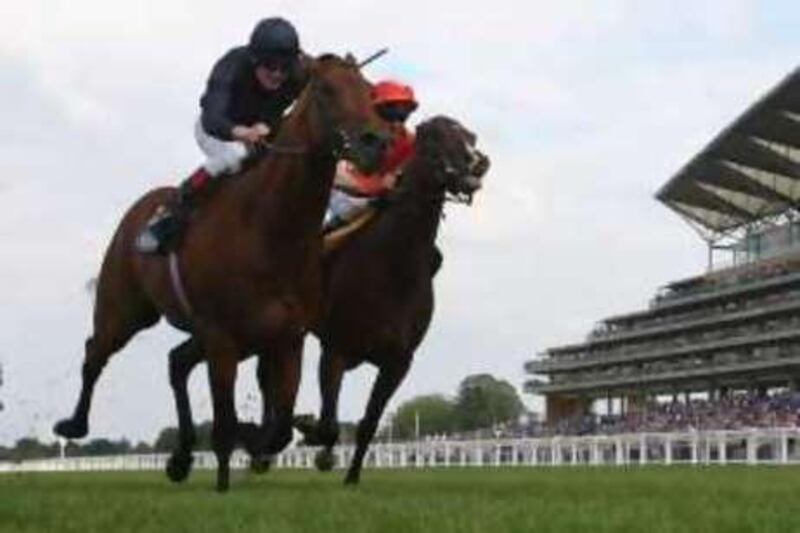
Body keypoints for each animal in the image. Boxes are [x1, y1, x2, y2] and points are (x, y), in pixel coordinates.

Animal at [52, 54, 390, 490]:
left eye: (368, 90)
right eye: (325, 90)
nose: (376, 143)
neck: (271, 230)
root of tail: (140, 209)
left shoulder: (286, 338)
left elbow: (278, 427)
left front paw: (260, 439)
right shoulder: (222, 337)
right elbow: (227, 422)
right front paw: (226, 476)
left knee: (176, 362)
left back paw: (180, 458)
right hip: (125, 310)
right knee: (96, 352)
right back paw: (74, 424)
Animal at [166, 115, 488, 482]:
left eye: (471, 136)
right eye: (434, 137)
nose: (478, 164)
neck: (393, 266)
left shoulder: (399, 361)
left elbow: (368, 423)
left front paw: (350, 476)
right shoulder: (336, 348)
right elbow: (329, 424)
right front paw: (310, 439)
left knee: (222, 368)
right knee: (196, 364)